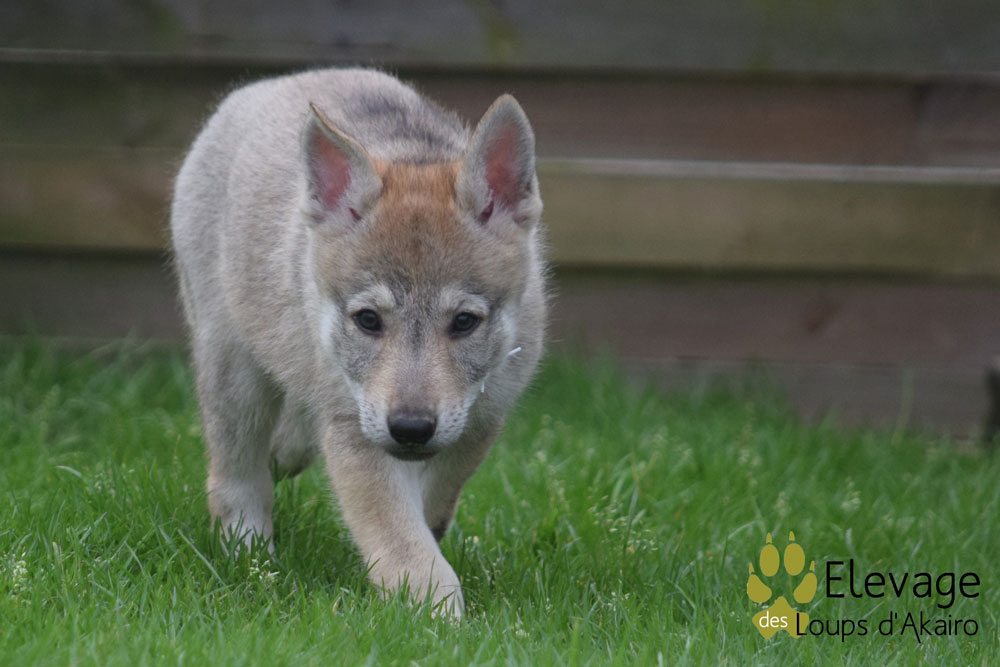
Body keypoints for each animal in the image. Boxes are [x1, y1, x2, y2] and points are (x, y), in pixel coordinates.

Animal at [170, 68, 546, 617]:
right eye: (368, 320)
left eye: (464, 322)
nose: (410, 428)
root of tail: (274, 82)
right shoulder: (356, 431)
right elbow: (403, 541)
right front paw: (437, 615)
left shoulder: (479, 423)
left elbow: (430, 509)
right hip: (232, 373)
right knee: (234, 480)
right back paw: (253, 562)